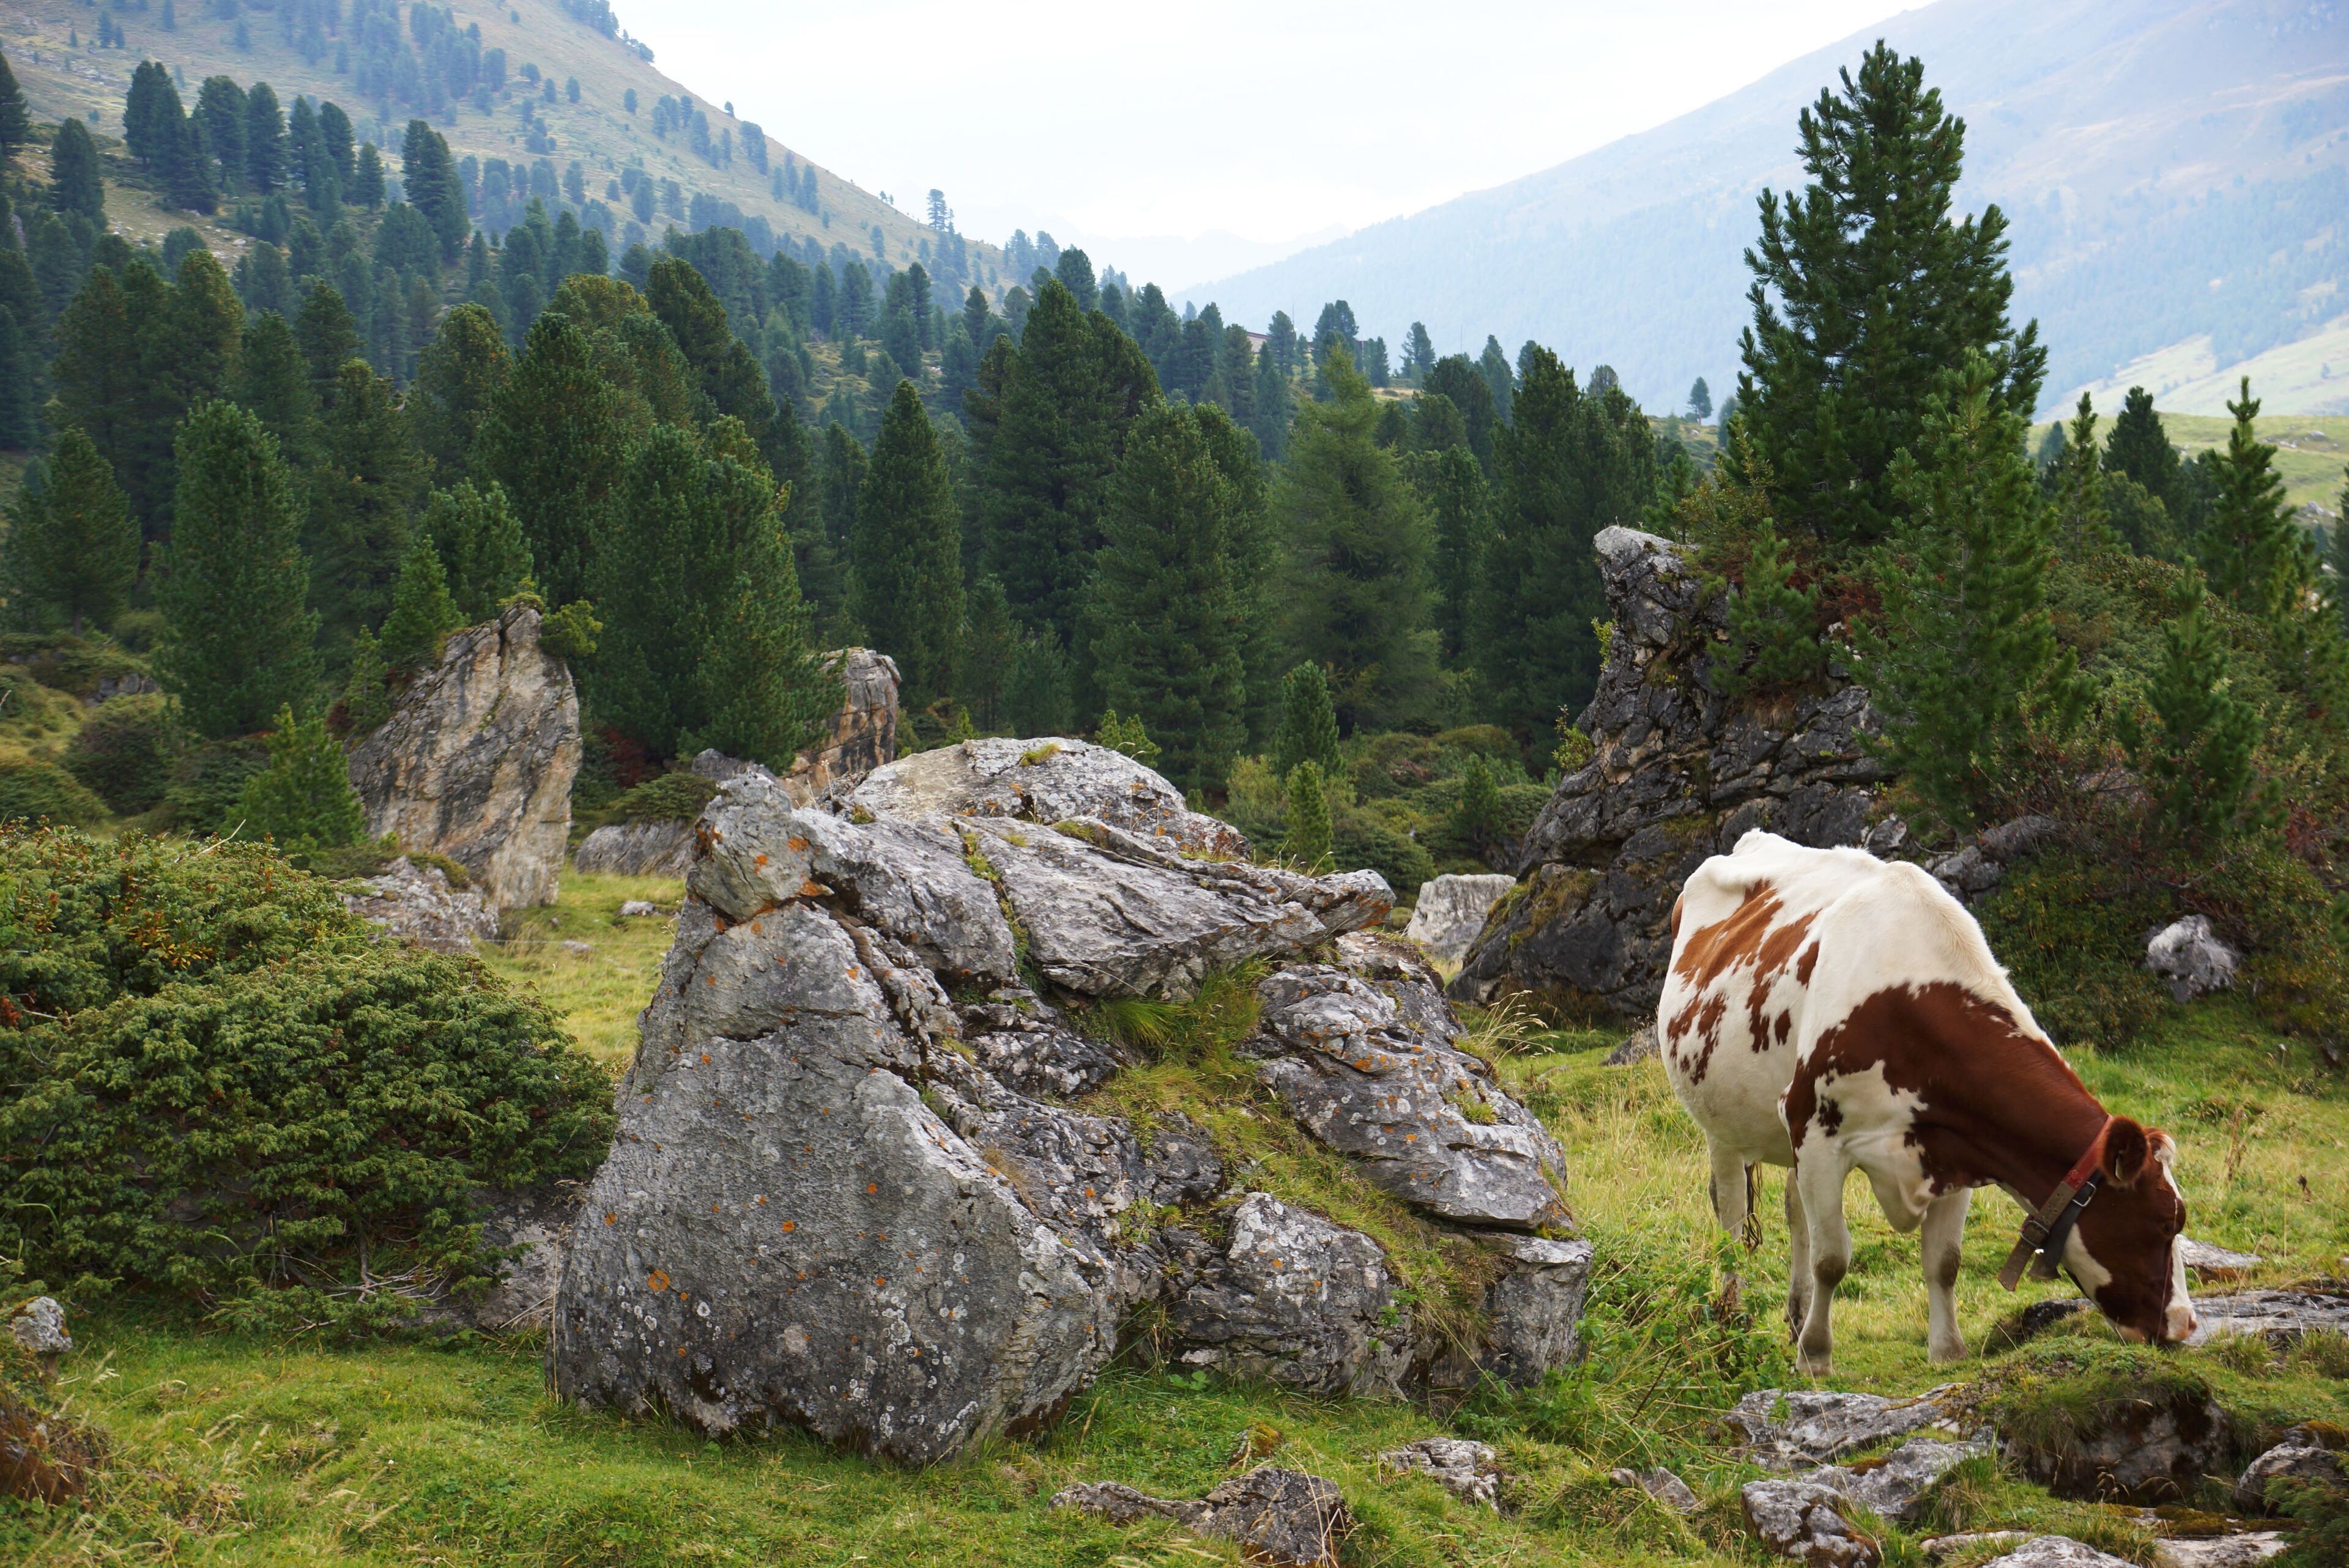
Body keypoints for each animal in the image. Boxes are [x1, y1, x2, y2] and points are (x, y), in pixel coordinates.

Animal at [1657, 830, 2195, 1375]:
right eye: (2166, 1221)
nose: (2184, 1325)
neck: (1907, 1005)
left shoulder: (1957, 1145)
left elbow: (1944, 1261)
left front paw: (1948, 1351)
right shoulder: (1817, 1134)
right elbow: (1832, 1259)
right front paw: (1816, 1358)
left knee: (1794, 1212)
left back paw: (1797, 1316)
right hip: (1720, 1118)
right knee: (1730, 1217)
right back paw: (1732, 1318)